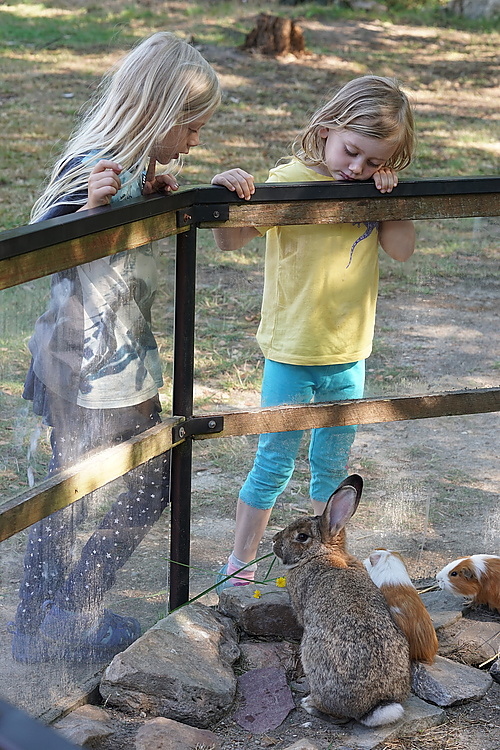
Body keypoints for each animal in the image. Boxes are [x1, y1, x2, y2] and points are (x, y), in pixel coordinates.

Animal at [274, 476, 410, 728]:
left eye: (302, 536)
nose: (274, 541)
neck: (321, 553)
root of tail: (375, 705)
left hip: (314, 658)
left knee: (340, 718)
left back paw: (310, 704)